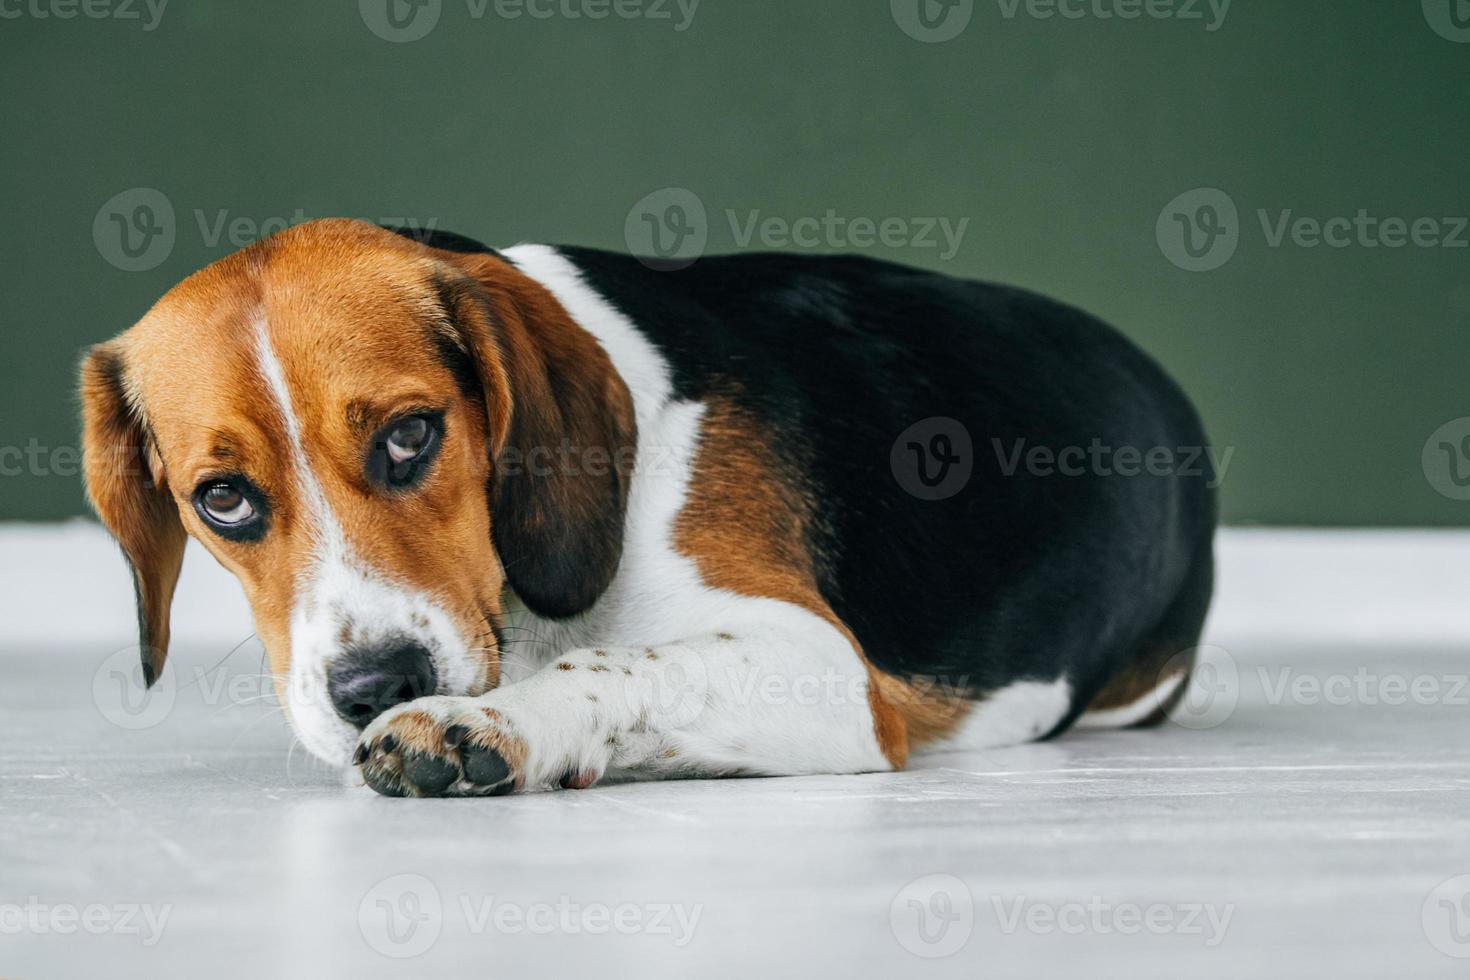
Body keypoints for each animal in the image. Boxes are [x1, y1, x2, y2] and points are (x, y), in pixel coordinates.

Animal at [85, 220, 1223, 799]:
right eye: (223, 498)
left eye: (409, 435)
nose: (376, 687)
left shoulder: (823, 667)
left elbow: (616, 662)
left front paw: (489, 722)